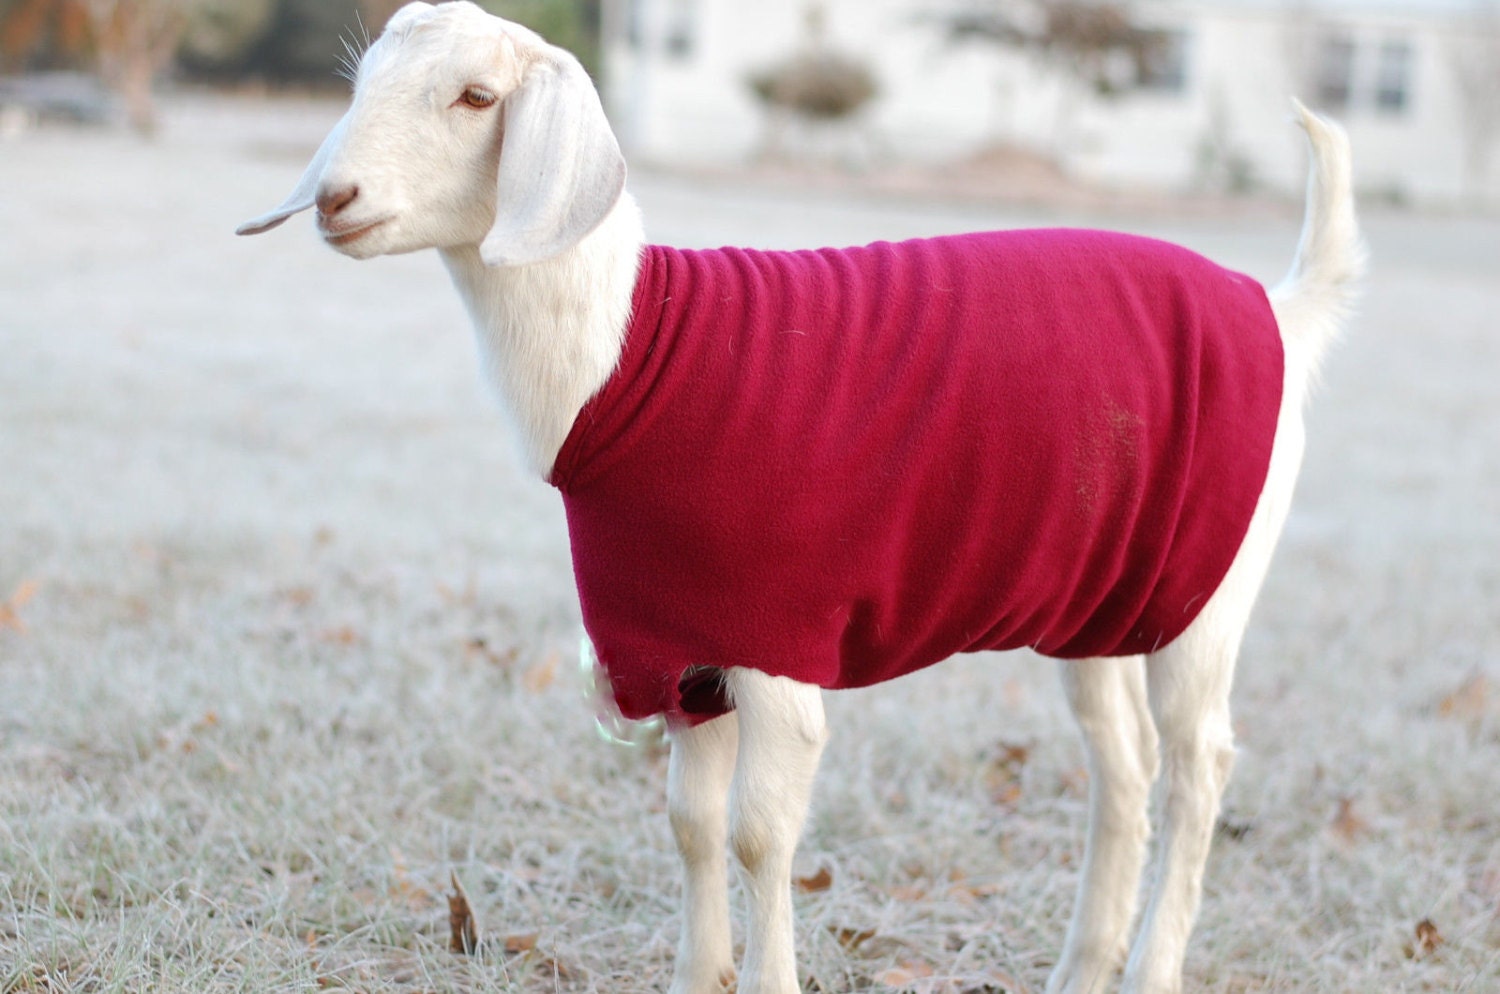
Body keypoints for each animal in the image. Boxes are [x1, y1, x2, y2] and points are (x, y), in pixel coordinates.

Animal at [238, 4, 1364, 992]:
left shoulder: (780, 644)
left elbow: (757, 833)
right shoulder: (679, 651)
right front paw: (697, 975)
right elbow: (691, 825)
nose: (335, 198)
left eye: (476, 97)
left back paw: (1153, 965)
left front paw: (768, 975)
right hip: (1101, 597)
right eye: (364, 81)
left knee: (1199, 765)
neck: (626, 348)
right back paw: (1081, 970)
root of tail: (1279, 309)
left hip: (1208, 594)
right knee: (1123, 767)